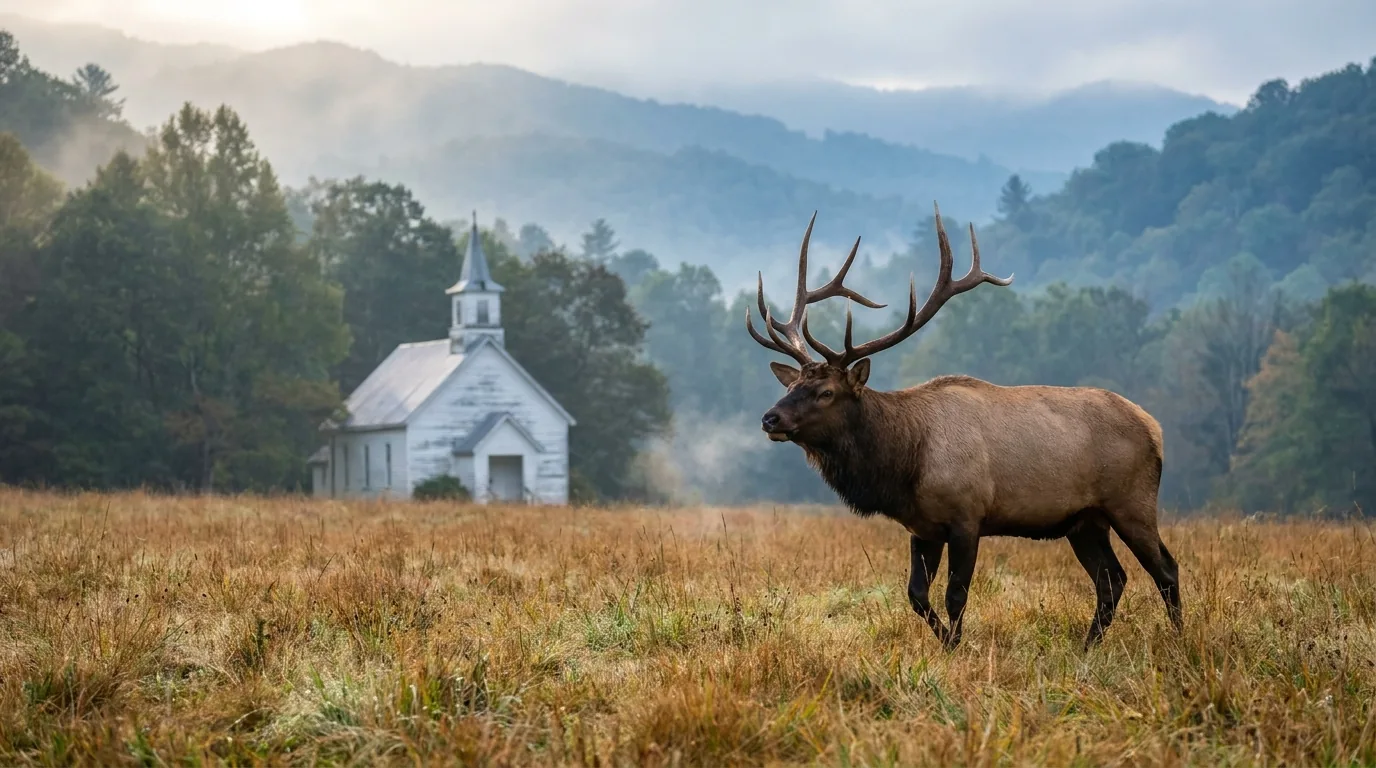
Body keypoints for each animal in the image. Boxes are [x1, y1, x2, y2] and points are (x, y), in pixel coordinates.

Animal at [745, 204, 1182, 650]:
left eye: (826, 392)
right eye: (791, 385)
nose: (770, 418)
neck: (905, 463)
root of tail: (1154, 427)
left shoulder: (967, 516)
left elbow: (956, 594)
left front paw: (956, 647)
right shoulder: (923, 528)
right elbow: (916, 595)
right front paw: (945, 642)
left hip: (1132, 500)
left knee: (1165, 568)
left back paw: (1179, 641)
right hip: (1085, 520)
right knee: (1112, 579)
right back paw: (1087, 647)